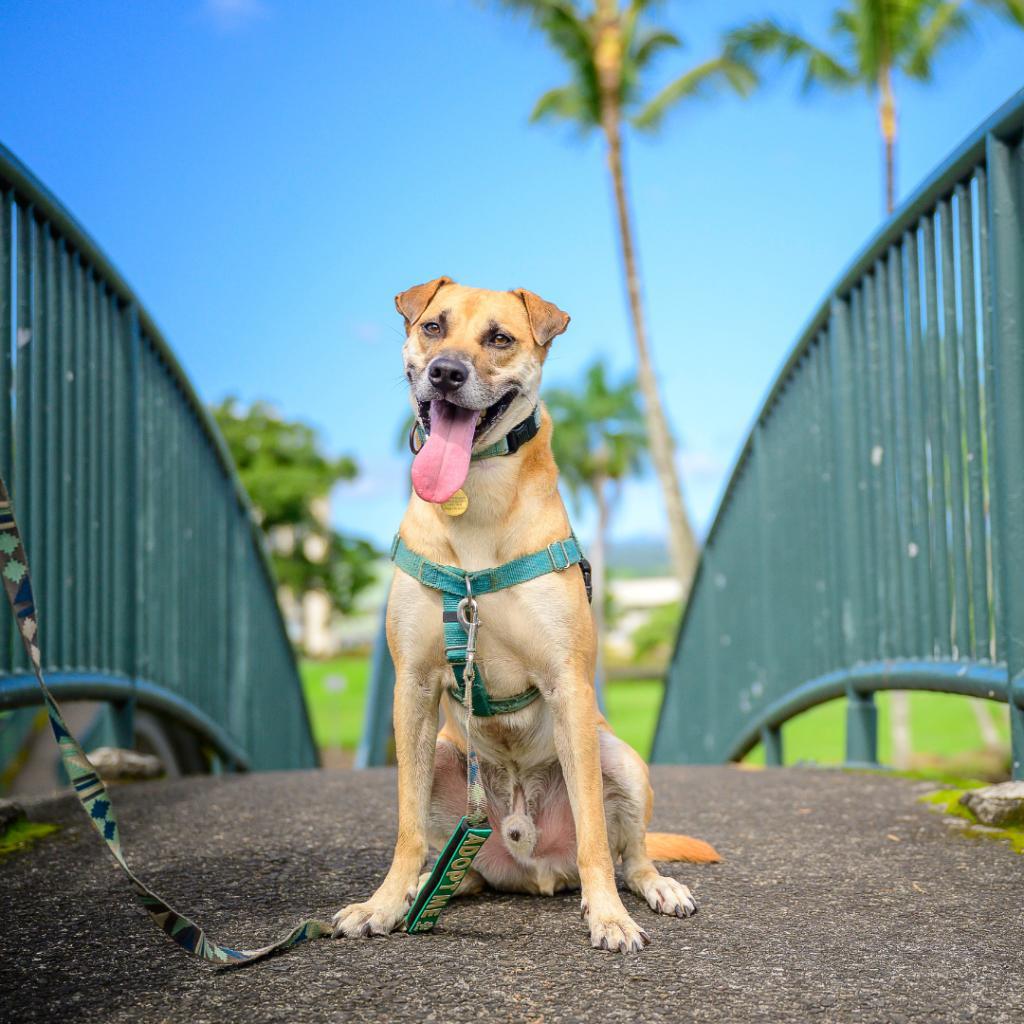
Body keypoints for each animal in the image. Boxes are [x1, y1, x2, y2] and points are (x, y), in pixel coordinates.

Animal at [331, 274, 716, 950]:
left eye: (500, 339)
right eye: (433, 327)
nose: (446, 372)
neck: (474, 498)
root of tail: (530, 859)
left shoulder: (567, 685)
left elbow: (595, 833)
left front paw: (609, 916)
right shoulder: (413, 686)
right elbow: (406, 824)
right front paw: (381, 903)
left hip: (620, 759)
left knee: (631, 853)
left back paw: (655, 888)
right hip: (445, 755)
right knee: (452, 862)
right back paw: (428, 890)